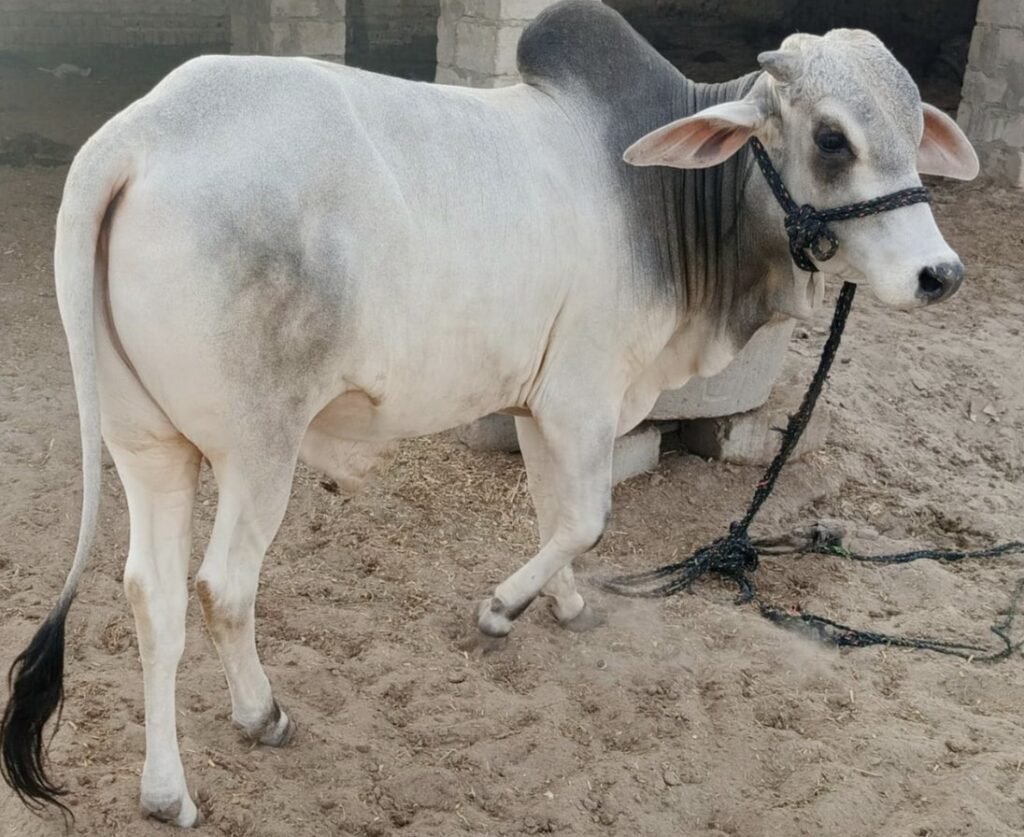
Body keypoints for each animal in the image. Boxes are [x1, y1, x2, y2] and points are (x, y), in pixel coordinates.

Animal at [1, 0, 978, 827]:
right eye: (831, 137)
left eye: (912, 126)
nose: (940, 274)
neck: (661, 198)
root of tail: (137, 136)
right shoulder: (583, 394)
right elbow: (584, 517)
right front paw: (504, 606)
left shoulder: (542, 404)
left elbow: (556, 514)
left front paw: (565, 604)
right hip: (257, 448)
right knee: (223, 587)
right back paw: (261, 713)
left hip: (147, 444)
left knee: (152, 594)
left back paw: (165, 789)